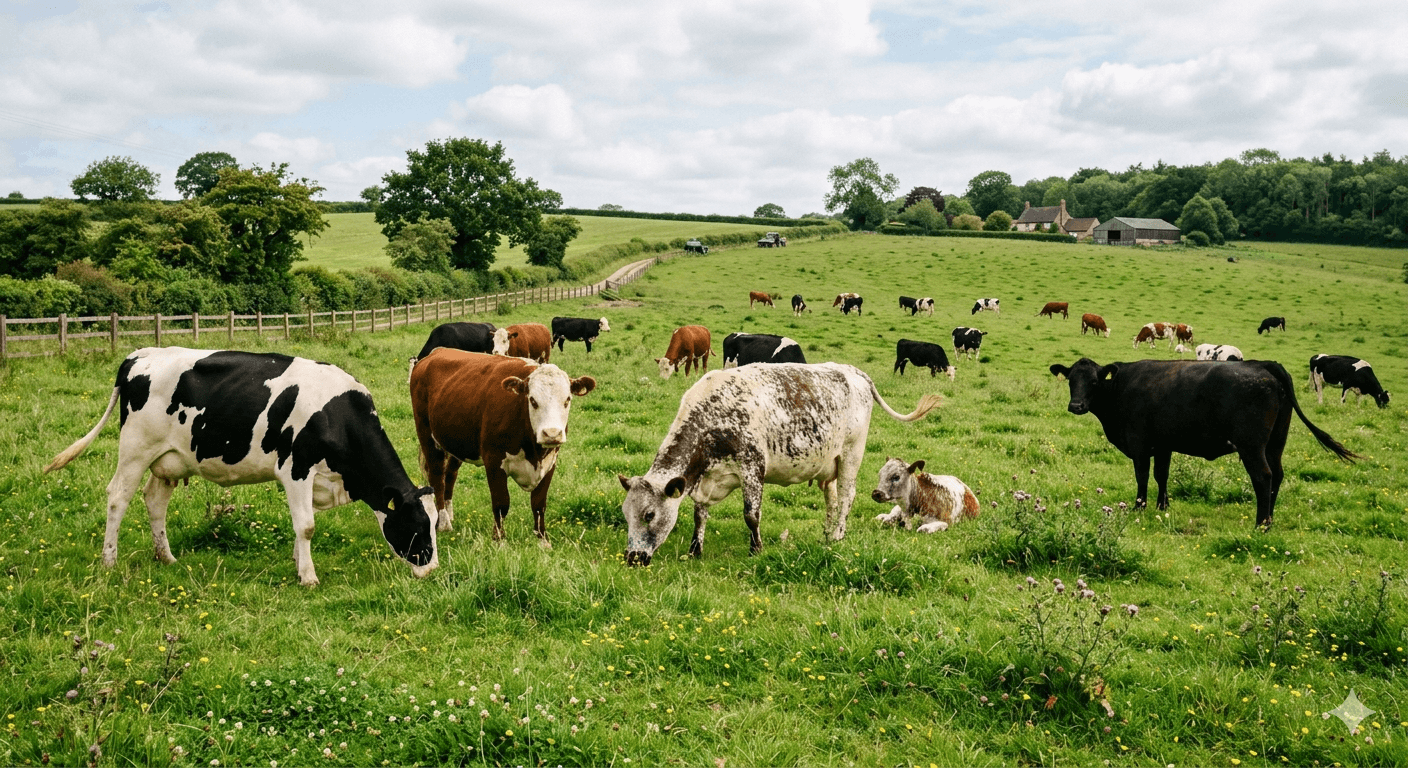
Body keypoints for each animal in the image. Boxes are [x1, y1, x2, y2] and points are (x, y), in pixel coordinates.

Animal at [43, 348, 439, 586]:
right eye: (417, 525)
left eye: (435, 524)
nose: (432, 568)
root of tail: (141, 354)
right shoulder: (295, 468)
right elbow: (307, 525)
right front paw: (308, 576)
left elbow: (300, 525)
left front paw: (298, 562)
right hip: (135, 449)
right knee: (118, 497)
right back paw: (109, 561)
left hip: (168, 459)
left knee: (154, 501)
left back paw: (167, 557)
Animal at [411, 350, 596, 546]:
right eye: (533, 400)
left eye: (567, 400)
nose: (552, 434)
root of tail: (437, 352)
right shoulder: (493, 461)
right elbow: (501, 503)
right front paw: (499, 540)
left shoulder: (550, 462)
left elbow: (539, 504)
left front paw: (543, 540)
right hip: (427, 436)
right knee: (437, 477)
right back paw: (444, 522)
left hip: (455, 443)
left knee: (450, 475)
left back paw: (448, 514)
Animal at [616, 363, 943, 564]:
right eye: (625, 514)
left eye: (648, 514)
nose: (632, 558)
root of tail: (853, 370)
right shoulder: (705, 480)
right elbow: (700, 515)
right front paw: (695, 550)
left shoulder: (752, 467)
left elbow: (751, 515)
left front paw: (756, 549)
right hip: (829, 464)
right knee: (832, 498)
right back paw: (827, 534)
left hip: (852, 454)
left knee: (847, 496)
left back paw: (838, 534)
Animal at [1049, 357, 1357, 530]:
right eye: (1071, 381)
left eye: (1093, 381)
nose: (1076, 406)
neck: (1120, 388)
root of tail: (1263, 365)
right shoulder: (1163, 445)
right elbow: (1162, 475)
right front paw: (1162, 506)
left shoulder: (1139, 444)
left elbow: (1142, 476)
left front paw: (1139, 507)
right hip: (1276, 442)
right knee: (1278, 475)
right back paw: (1269, 518)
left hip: (1251, 446)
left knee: (1264, 476)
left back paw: (1261, 524)